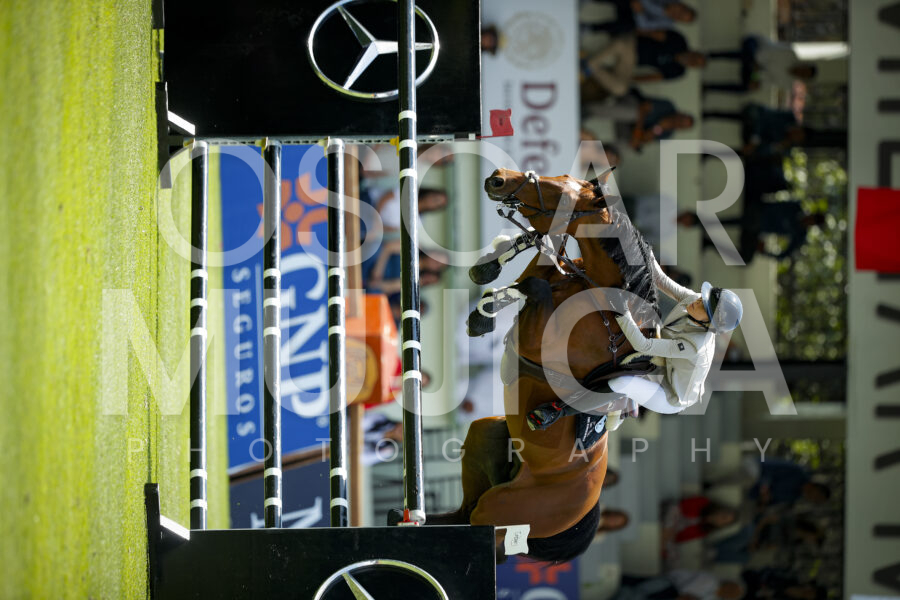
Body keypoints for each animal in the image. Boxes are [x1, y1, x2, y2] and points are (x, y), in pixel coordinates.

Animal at [425, 168, 661, 563]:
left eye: (562, 193)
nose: (497, 179)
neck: (599, 297)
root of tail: (582, 511)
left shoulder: (545, 337)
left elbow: (535, 284)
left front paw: (486, 310)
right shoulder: (562, 272)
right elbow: (542, 260)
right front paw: (487, 276)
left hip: (498, 510)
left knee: (481, 535)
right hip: (486, 437)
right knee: (459, 514)